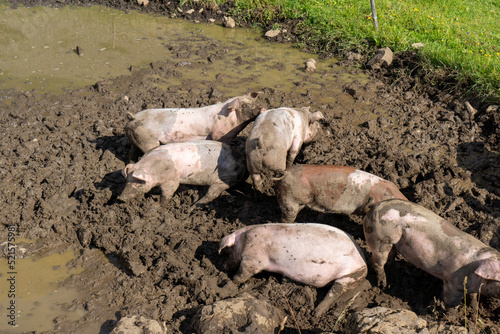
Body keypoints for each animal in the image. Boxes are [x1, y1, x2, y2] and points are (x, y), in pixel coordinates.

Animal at [119, 139, 248, 206]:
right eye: (126, 181)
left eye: (137, 183)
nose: (120, 198)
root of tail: (243, 162)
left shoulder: (171, 180)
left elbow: (168, 193)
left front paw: (160, 207)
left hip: (223, 181)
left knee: (211, 194)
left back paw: (192, 207)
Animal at [124, 92, 262, 161]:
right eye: (244, 105)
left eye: (253, 102)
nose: (261, 107)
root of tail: (133, 117)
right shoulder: (219, 135)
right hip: (147, 140)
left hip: (135, 139)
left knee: (131, 153)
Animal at [219, 223, 368, 318]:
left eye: (227, 251)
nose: (223, 267)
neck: (244, 239)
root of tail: (364, 264)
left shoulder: (253, 259)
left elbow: (243, 274)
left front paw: (231, 281)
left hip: (350, 275)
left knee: (334, 292)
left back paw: (314, 314)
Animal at [362, 198, 500, 310]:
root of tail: (374, 205)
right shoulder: (452, 282)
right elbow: (451, 303)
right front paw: (451, 317)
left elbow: (473, 297)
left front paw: (475, 309)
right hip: (380, 238)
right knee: (378, 262)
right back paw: (383, 285)